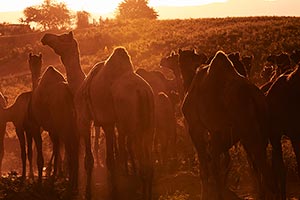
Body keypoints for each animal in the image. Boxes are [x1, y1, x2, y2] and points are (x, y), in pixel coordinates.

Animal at [40, 31, 155, 200]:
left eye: (61, 37)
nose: (46, 37)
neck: (77, 87)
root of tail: (143, 92)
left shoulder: (85, 119)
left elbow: (90, 160)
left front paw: (88, 193)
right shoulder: (107, 123)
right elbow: (110, 159)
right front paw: (113, 189)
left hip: (133, 125)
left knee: (140, 157)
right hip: (148, 125)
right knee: (148, 161)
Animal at [177, 48, 278, 200]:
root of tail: (254, 96)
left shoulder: (196, 126)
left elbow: (207, 167)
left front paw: (207, 194)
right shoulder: (220, 132)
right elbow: (217, 163)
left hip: (247, 128)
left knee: (260, 163)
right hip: (261, 126)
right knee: (259, 163)